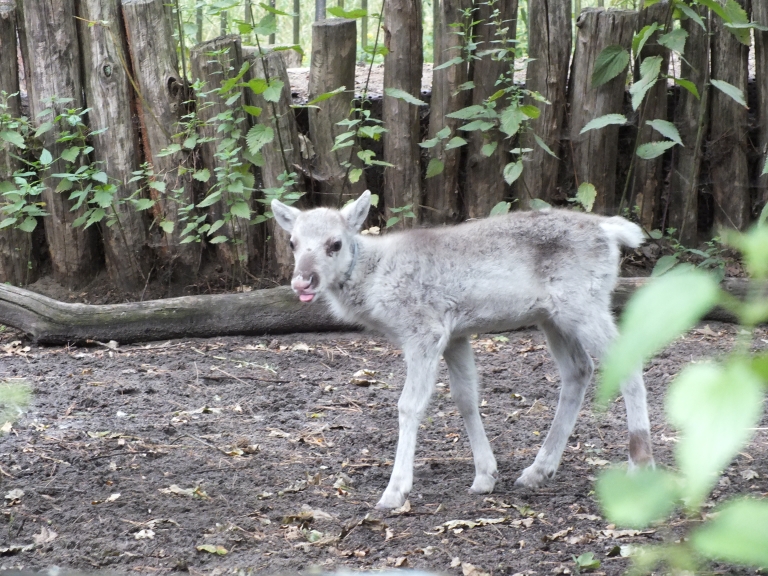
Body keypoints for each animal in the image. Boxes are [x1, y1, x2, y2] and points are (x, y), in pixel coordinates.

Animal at [272, 192, 652, 508]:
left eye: (334, 243)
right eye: (292, 242)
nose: (302, 281)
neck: (374, 281)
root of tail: (611, 232)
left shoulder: (424, 330)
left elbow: (409, 405)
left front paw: (395, 491)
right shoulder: (456, 334)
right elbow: (465, 397)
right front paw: (485, 475)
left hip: (584, 304)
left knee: (629, 365)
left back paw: (640, 466)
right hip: (553, 316)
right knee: (579, 369)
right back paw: (537, 470)